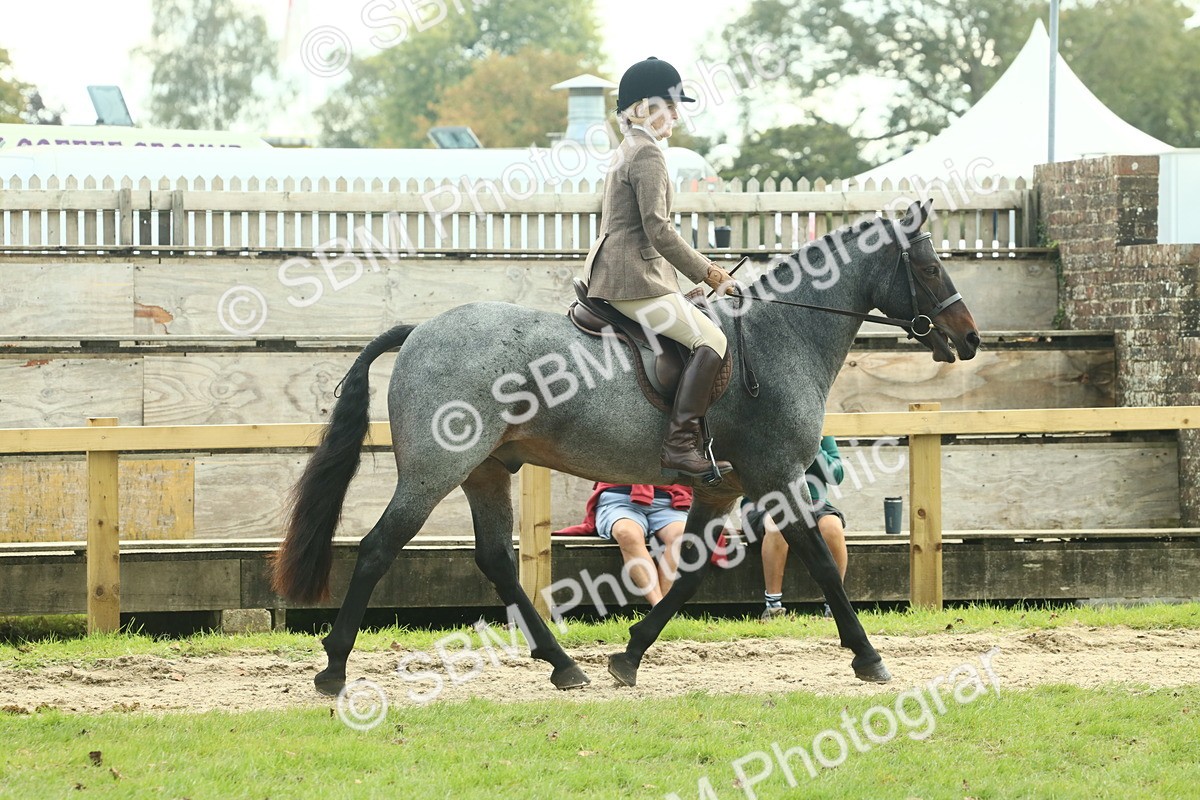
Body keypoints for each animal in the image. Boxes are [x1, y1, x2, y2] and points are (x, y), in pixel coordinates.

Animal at [271, 199, 980, 695]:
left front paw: (629, 655)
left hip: (486, 471)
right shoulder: (778, 478)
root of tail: (419, 330)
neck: (781, 332)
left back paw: (563, 666)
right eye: (928, 265)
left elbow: (689, 573)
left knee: (496, 559)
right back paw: (333, 670)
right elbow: (824, 567)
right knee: (377, 548)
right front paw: (869, 657)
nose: (969, 338)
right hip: (434, 471)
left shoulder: (722, 490)